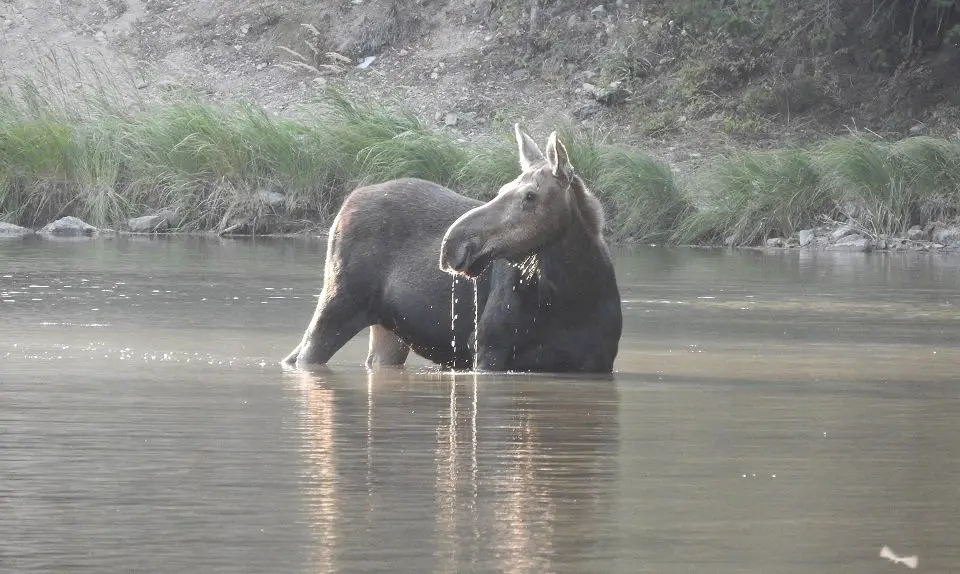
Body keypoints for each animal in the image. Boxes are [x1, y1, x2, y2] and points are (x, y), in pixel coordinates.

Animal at [284, 125, 624, 374]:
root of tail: (343, 207)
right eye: (502, 189)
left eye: (530, 196)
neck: (571, 293)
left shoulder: (599, 361)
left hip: (389, 328)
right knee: (302, 354)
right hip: (338, 303)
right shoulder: (489, 351)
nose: (453, 244)